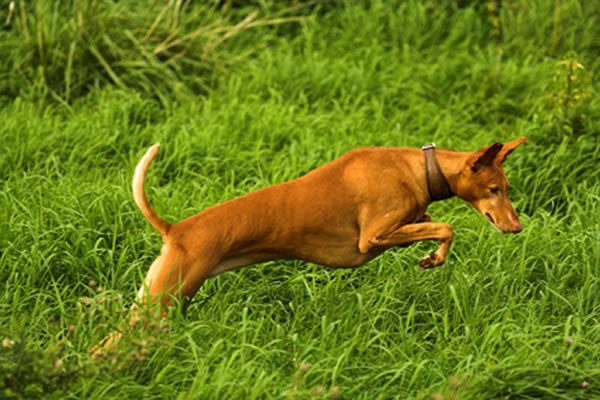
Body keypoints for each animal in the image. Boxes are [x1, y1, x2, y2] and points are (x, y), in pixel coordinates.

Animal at [91, 137, 528, 354]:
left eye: (507, 188)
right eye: (494, 189)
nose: (517, 226)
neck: (419, 168)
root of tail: (175, 229)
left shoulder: (406, 222)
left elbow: (432, 222)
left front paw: (431, 254)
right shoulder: (372, 237)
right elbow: (447, 228)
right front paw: (434, 257)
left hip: (159, 301)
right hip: (161, 300)